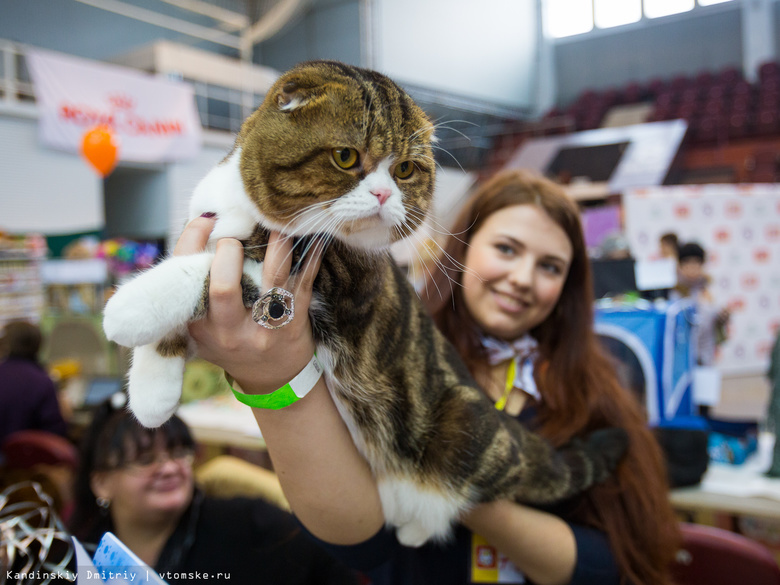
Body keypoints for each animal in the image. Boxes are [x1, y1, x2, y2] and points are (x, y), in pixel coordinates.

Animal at [103, 59, 628, 548]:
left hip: (463, 432)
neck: (246, 211)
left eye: (405, 169)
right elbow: (186, 304)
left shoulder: (332, 277)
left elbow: (209, 269)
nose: (381, 193)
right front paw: (152, 391)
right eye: (345, 156)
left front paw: (132, 305)